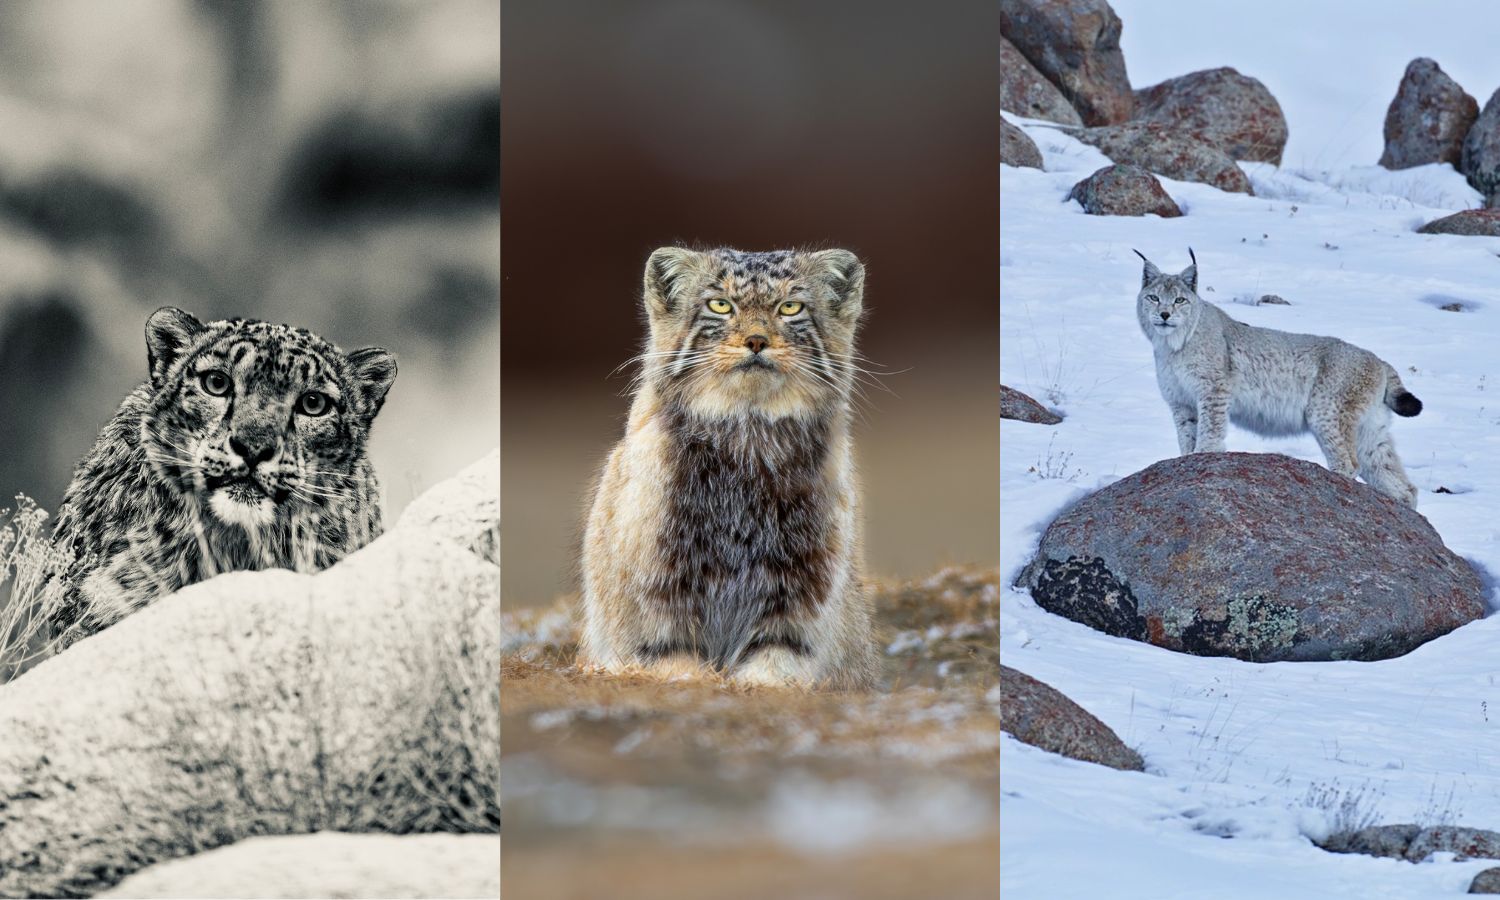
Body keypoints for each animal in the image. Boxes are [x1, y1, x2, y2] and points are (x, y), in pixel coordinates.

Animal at [580, 246, 878, 690]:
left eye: (790, 307)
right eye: (720, 305)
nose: (756, 340)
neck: (747, 434)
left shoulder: (804, 581)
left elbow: (778, 658)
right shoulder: (659, 577)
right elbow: (672, 655)